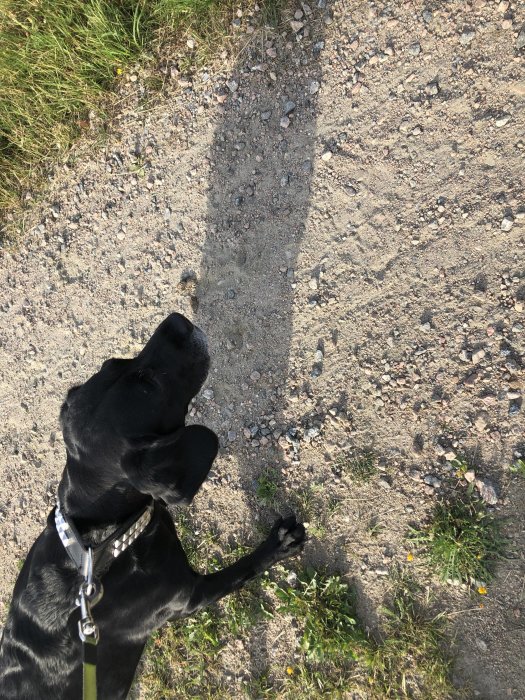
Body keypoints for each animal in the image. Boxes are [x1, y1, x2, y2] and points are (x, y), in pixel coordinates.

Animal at [0, 314, 302, 696]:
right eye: (148, 384)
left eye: (113, 363)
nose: (179, 320)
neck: (101, 541)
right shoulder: (188, 594)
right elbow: (243, 569)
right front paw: (280, 544)